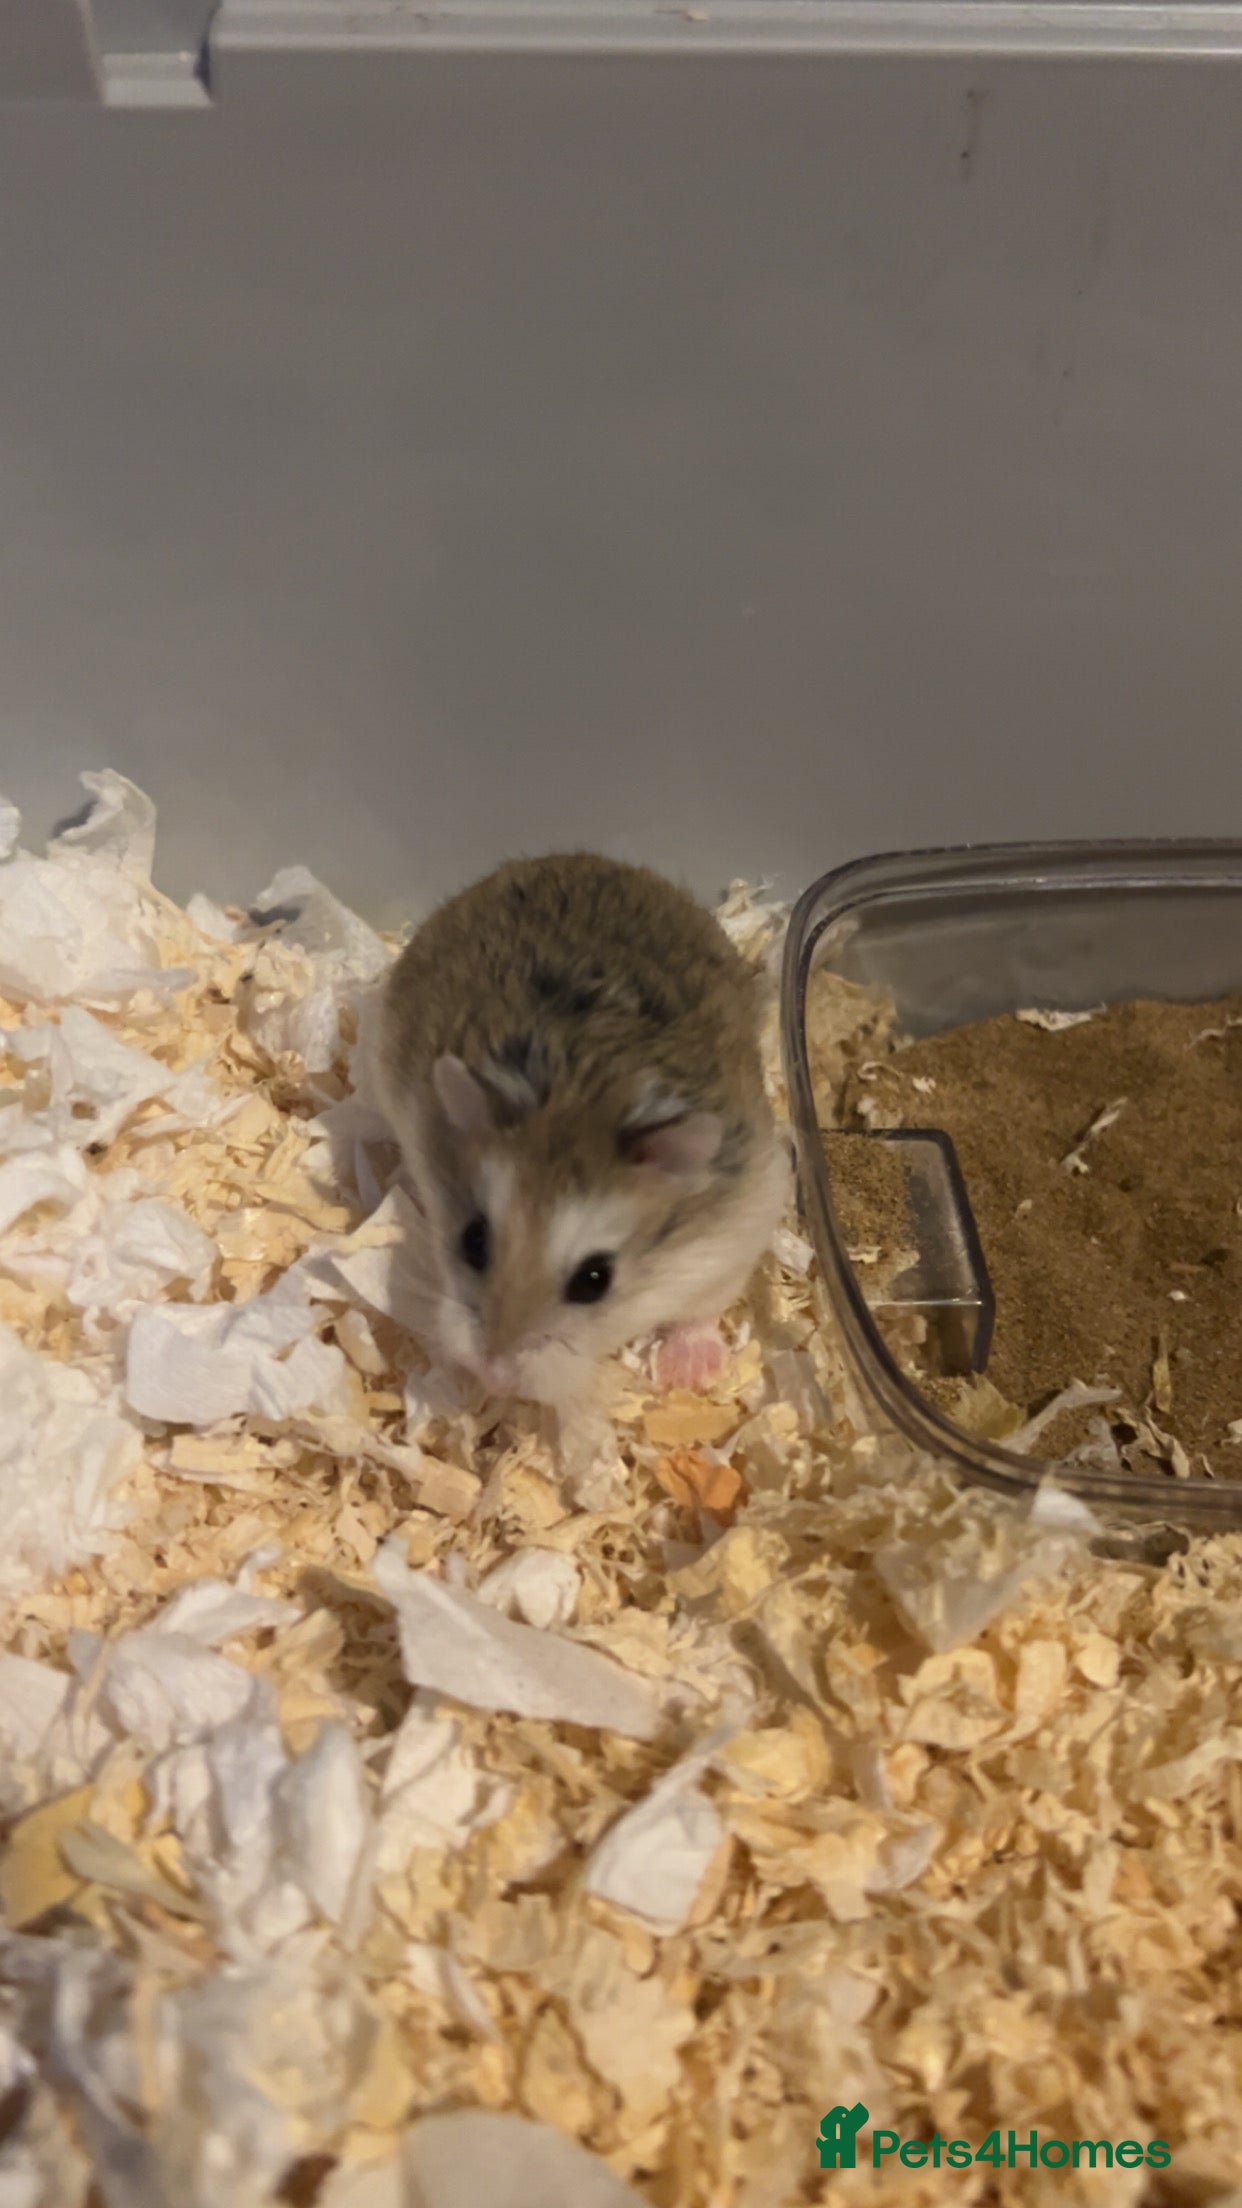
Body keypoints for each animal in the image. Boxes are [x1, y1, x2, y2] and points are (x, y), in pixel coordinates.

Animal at [372, 853, 787, 1412]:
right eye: (472, 1240)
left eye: (595, 1280)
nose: (495, 1376)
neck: (583, 1100)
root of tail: (582, 858)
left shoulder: (733, 1239)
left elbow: (700, 1310)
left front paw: (689, 1374)